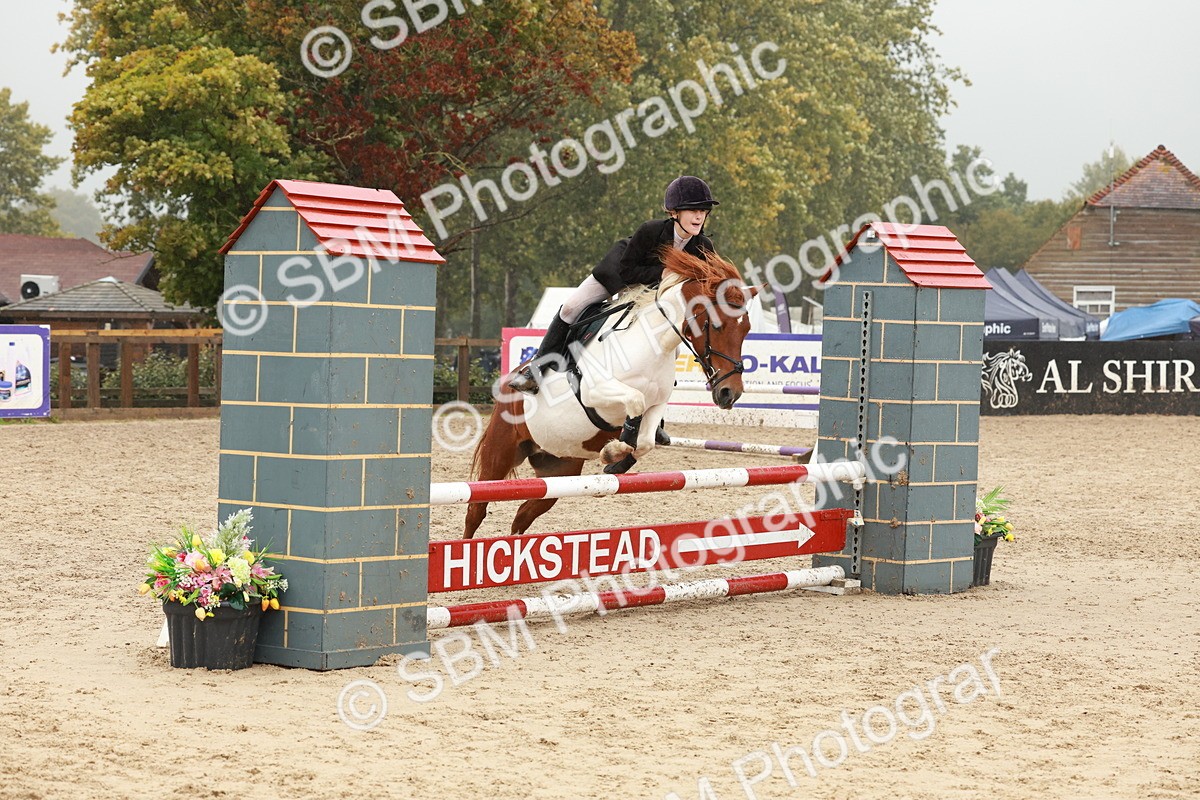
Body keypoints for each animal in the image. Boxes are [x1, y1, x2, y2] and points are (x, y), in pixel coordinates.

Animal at [464, 247, 759, 538]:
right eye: (716, 325)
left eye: (746, 329)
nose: (729, 393)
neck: (653, 345)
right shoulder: (596, 392)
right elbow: (634, 402)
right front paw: (613, 451)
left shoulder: (657, 404)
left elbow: (646, 440)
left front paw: (616, 461)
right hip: (501, 452)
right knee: (476, 509)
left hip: (559, 468)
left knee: (524, 514)